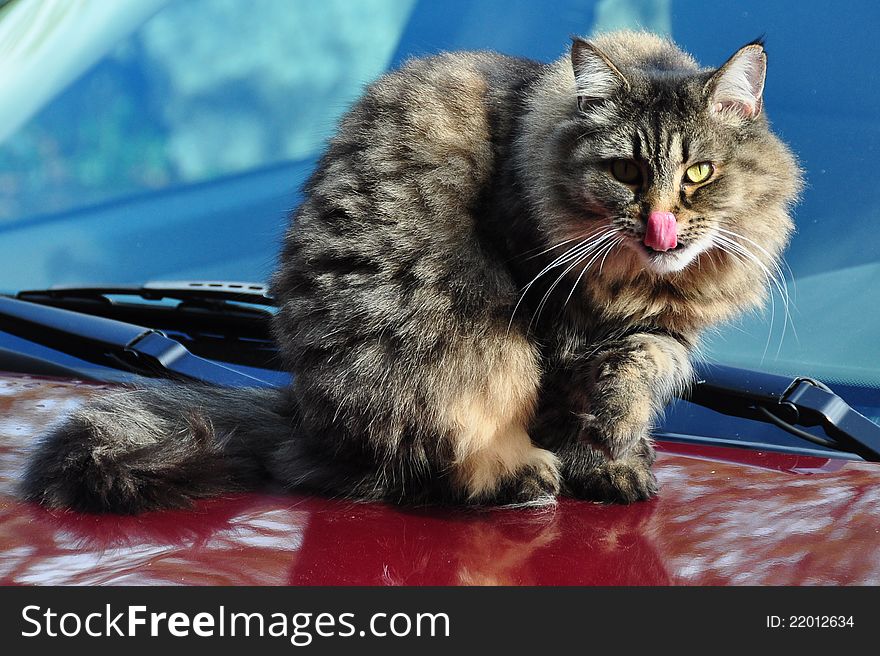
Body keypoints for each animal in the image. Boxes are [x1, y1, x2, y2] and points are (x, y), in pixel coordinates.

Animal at [22, 30, 804, 512]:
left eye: (698, 174)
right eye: (626, 173)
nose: (660, 225)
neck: (640, 283)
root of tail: (306, 416)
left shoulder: (656, 330)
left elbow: (637, 379)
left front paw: (623, 451)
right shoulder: (553, 323)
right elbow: (571, 407)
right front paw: (597, 468)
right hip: (455, 363)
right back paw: (523, 478)